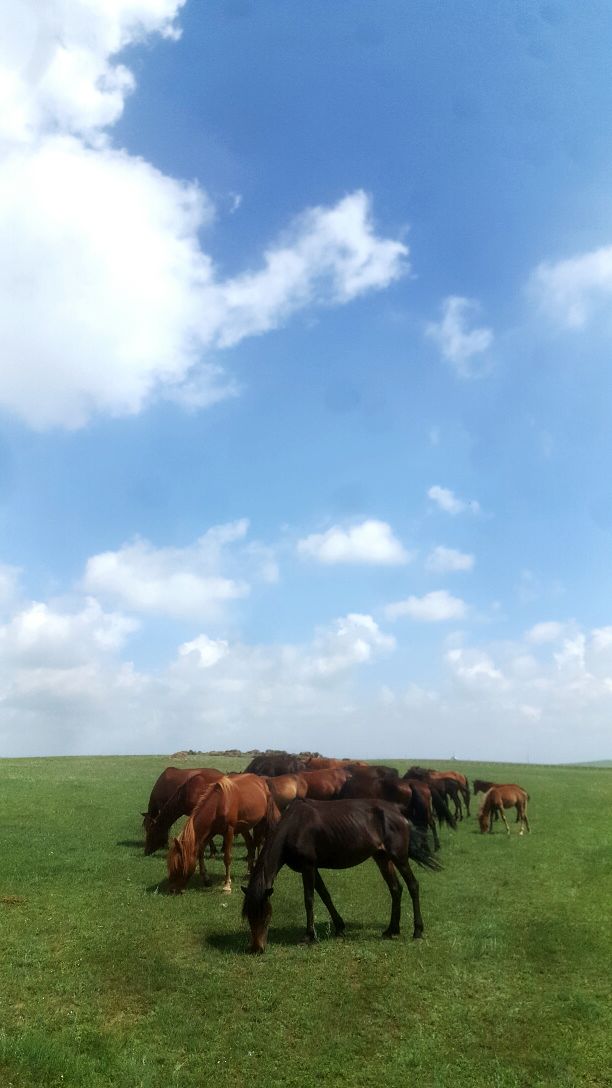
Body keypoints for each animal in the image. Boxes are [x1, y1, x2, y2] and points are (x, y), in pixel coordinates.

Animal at [239, 800, 437, 953]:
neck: (293, 827)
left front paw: (309, 936)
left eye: (266, 917)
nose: (256, 948)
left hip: (399, 856)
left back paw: (417, 931)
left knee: (413, 885)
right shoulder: (312, 868)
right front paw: (340, 927)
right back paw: (392, 930)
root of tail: (399, 812)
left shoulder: (308, 866)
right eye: (248, 916)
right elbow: (325, 895)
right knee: (396, 888)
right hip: (382, 857)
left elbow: (309, 899)